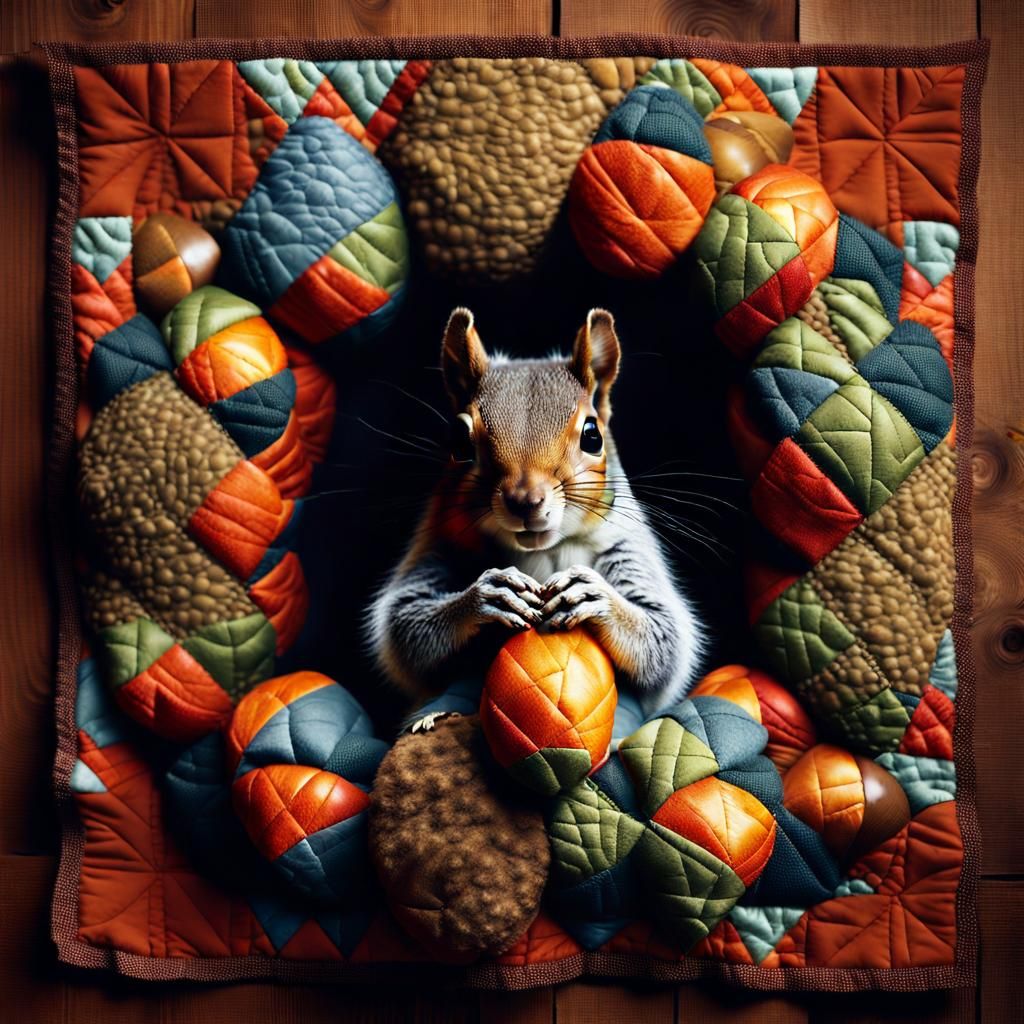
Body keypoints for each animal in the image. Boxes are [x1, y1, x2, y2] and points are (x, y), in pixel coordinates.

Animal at [366, 307, 706, 723]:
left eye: (593, 436)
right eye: (459, 442)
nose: (526, 501)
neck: (542, 551)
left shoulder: (629, 545)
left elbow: (664, 640)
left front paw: (593, 595)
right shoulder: (438, 541)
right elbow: (404, 623)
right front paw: (487, 596)